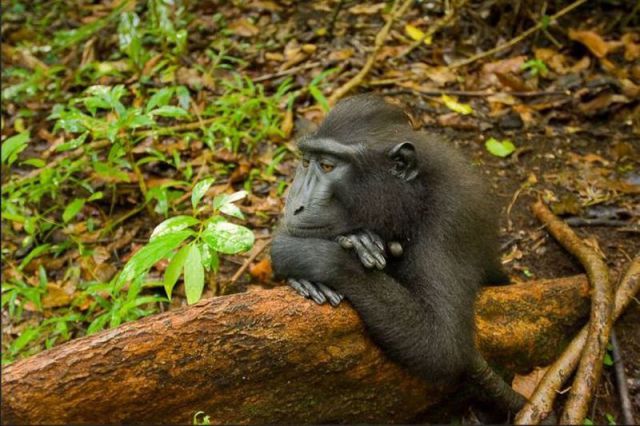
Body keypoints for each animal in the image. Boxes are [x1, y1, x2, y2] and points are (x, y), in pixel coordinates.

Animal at [272, 95, 528, 416]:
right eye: (306, 162)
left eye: (328, 166)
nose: (295, 206)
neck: (413, 196)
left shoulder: (451, 222)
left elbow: (442, 344)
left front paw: (315, 253)